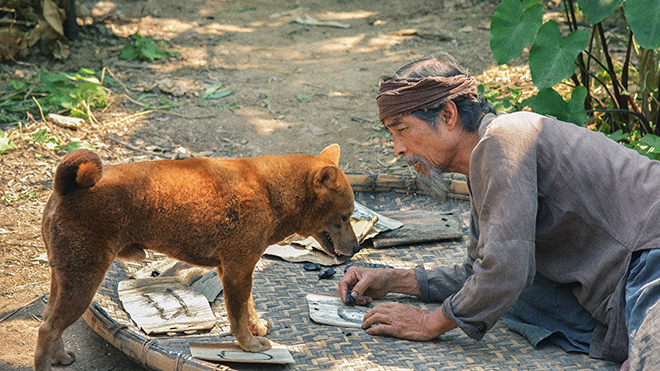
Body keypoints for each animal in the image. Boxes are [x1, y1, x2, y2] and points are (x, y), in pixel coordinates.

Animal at [33, 144, 358, 370]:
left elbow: (248, 306)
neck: (270, 191)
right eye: (345, 217)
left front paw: (255, 327)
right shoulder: (237, 269)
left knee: (49, 320)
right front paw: (250, 344)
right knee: (47, 329)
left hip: (64, 277)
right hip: (84, 280)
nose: (356, 249)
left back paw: (60, 357)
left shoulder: (237, 268)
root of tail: (64, 187)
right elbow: (237, 317)